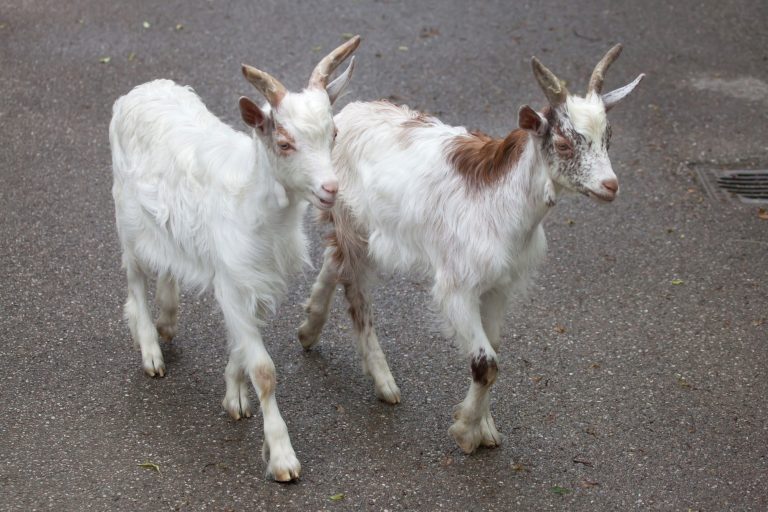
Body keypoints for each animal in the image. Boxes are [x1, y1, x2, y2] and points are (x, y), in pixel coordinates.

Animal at [109, 35, 360, 481]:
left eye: (333, 133)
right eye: (284, 143)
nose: (330, 189)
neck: (256, 206)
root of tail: (140, 90)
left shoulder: (253, 281)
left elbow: (241, 346)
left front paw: (235, 398)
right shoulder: (233, 280)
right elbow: (264, 369)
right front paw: (282, 457)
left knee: (167, 266)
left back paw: (168, 320)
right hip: (127, 217)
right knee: (134, 278)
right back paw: (151, 349)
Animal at [298, 45, 644, 454]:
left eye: (609, 137)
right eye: (562, 143)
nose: (610, 185)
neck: (502, 204)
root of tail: (344, 115)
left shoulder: (498, 287)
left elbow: (491, 349)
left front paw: (485, 427)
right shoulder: (456, 287)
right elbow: (486, 363)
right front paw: (466, 432)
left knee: (332, 258)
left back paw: (308, 329)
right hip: (355, 223)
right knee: (354, 288)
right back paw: (383, 382)